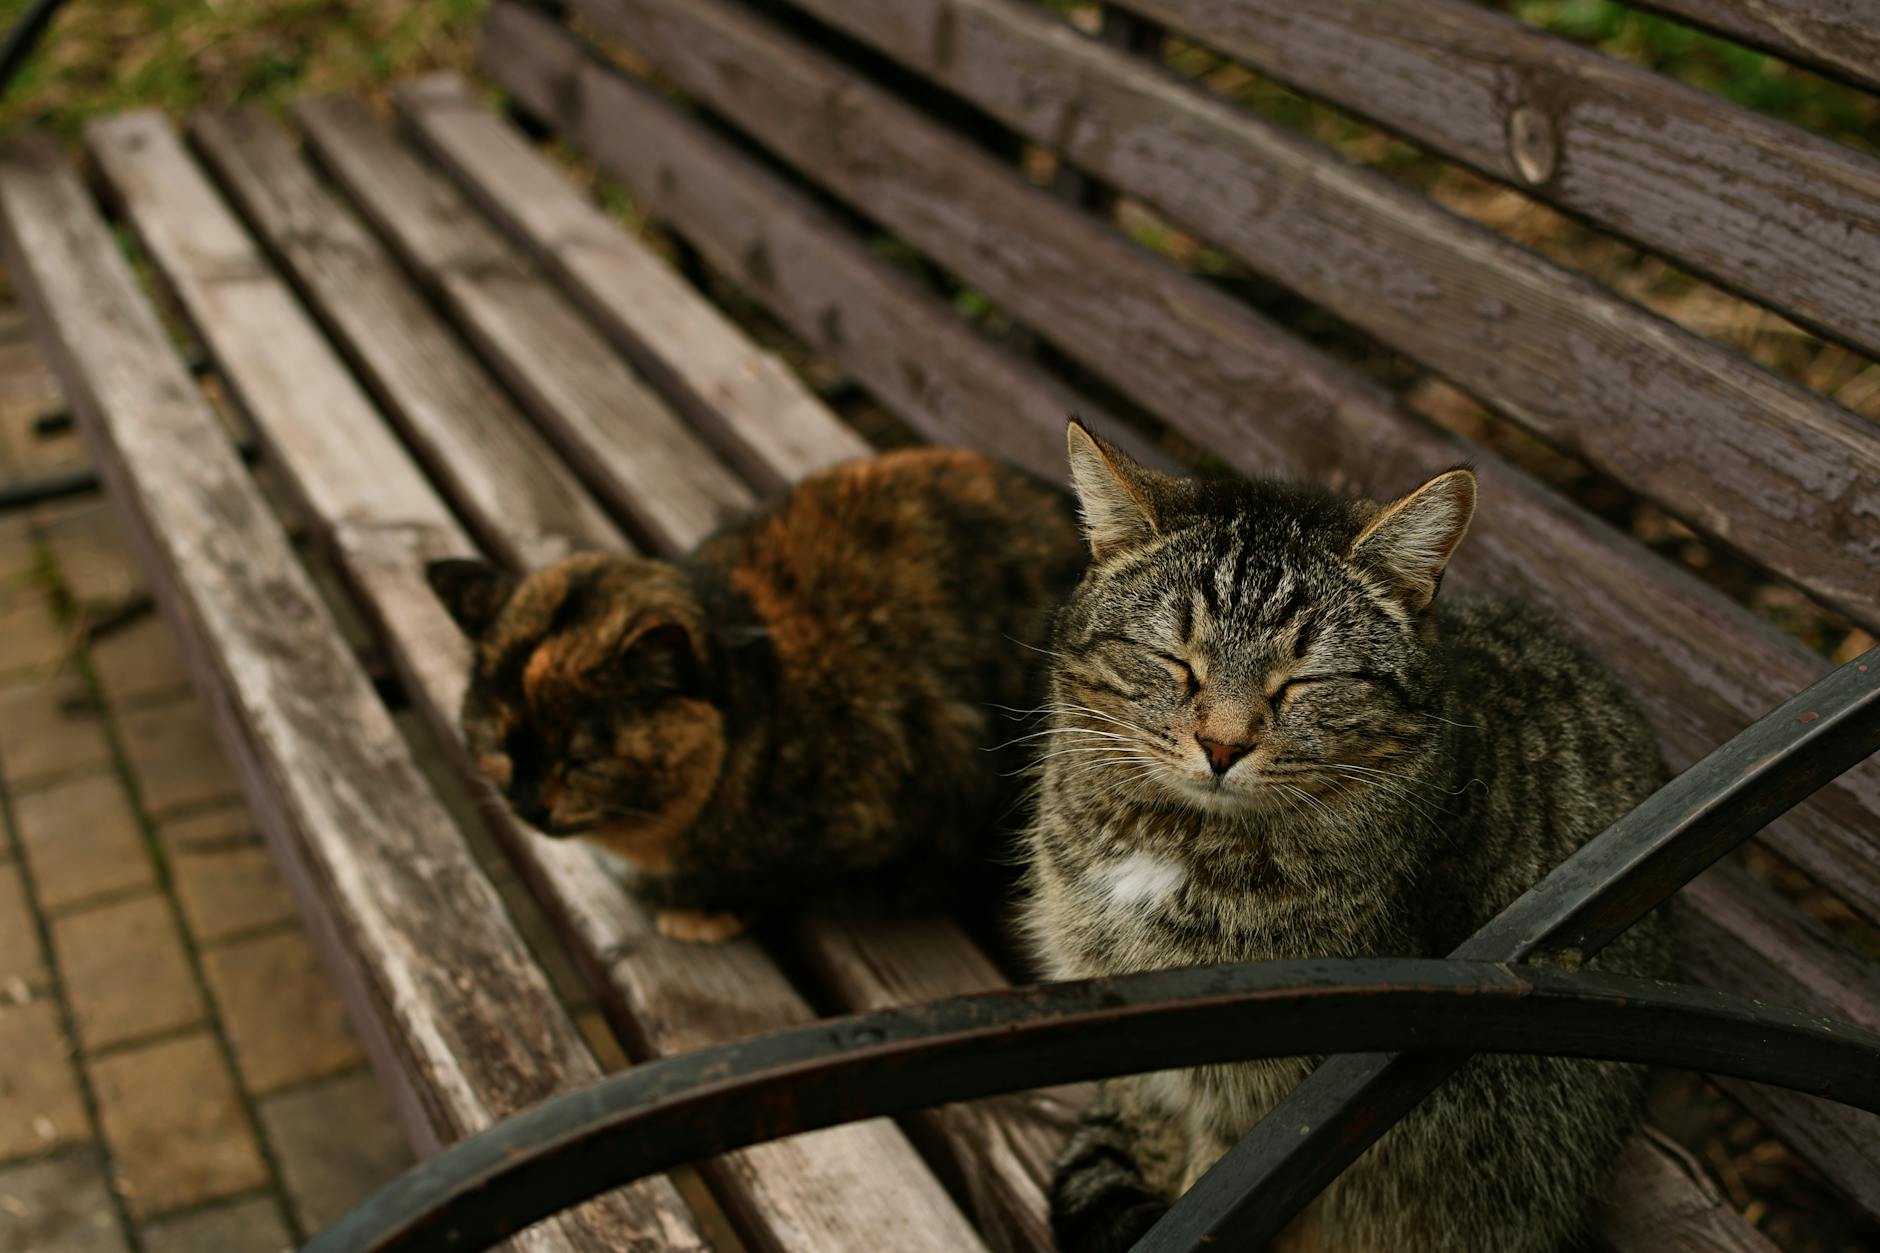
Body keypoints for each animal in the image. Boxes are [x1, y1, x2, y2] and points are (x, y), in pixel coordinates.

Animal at [1030, 421, 1676, 1249]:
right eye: (1177, 663)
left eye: (1303, 682)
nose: (1221, 745)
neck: (1175, 841)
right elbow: (1147, 1118)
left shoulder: (1266, 1088)